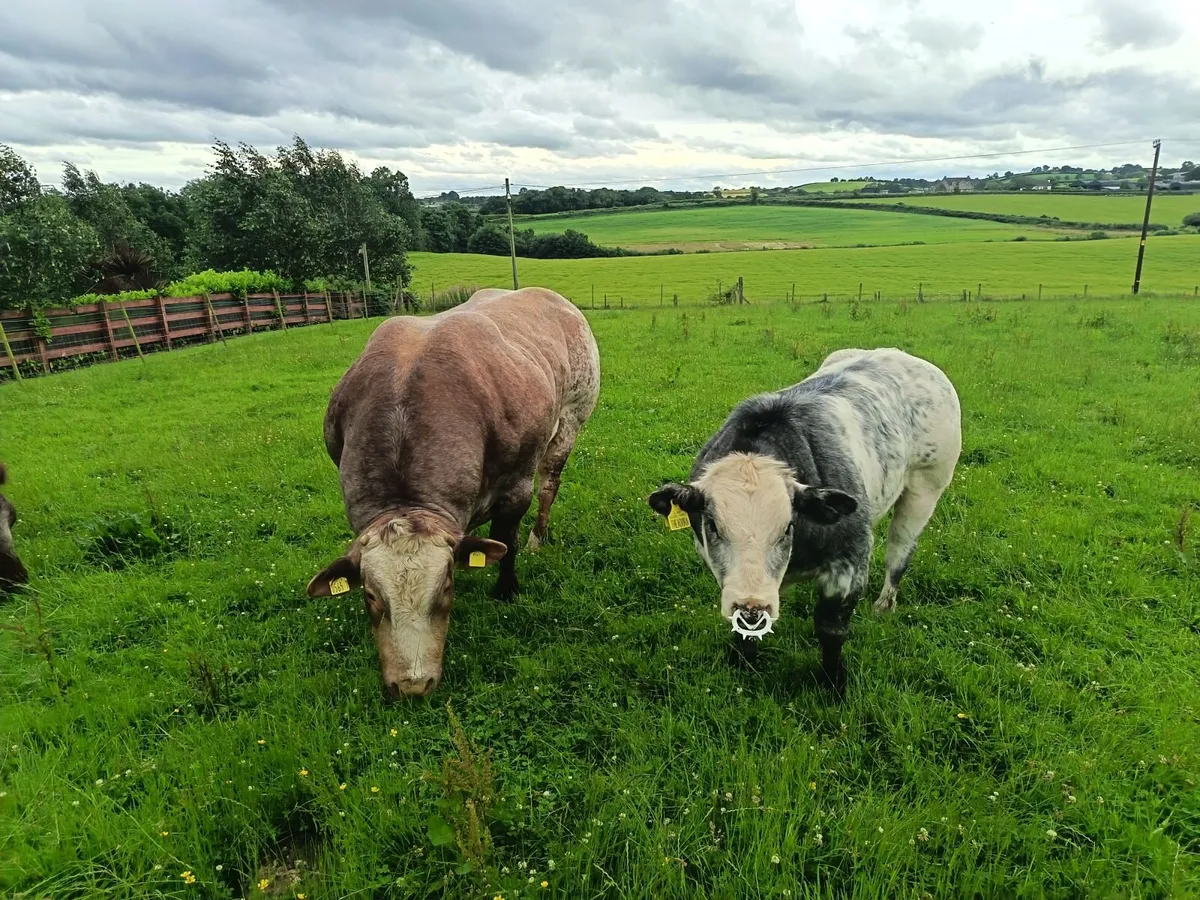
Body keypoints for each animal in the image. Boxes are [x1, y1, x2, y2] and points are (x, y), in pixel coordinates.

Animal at [307, 287, 600, 699]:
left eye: (446, 587)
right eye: (370, 596)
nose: (412, 684)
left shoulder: (517, 487)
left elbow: (506, 541)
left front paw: (506, 589)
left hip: (571, 420)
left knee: (549, 485)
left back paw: (539, 536)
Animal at [649, 348, 960, 692]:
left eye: (787, 527)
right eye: (713, 526)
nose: (752, 604)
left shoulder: (851, 562)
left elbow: (830, 630)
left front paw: (834, 684)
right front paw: (743, 664)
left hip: (925, 489)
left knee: (900, 551)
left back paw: (885, 604)